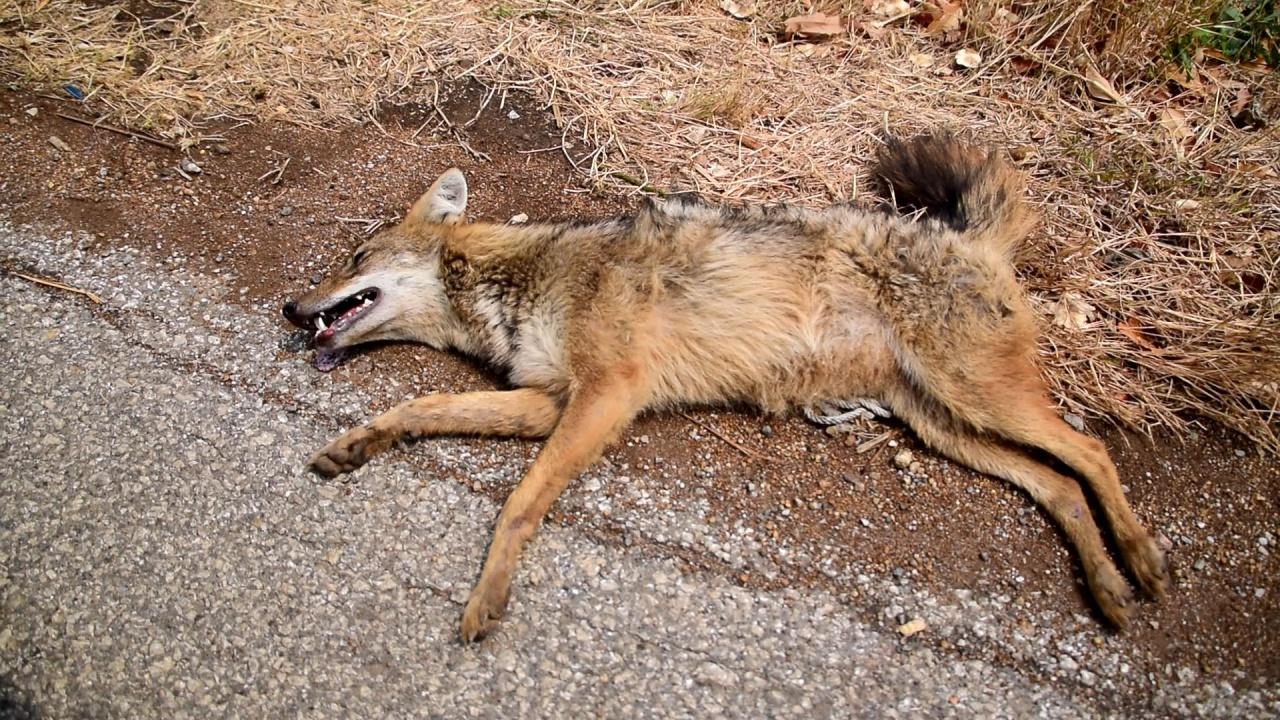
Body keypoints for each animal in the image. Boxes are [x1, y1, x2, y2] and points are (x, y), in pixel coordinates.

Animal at [282, 133, 1168, 642]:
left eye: (354, 259)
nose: (290, 308)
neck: (519, 284)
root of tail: (971, 237)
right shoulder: (546, 403)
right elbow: (421, 406)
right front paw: (354, 445)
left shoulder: (605, 397)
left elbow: (519, 505)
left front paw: (487, 599)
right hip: (948, 426)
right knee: (1057, 485)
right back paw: (1108, 589)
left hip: (978, 401)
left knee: (1090, 451)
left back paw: (1141, 560)